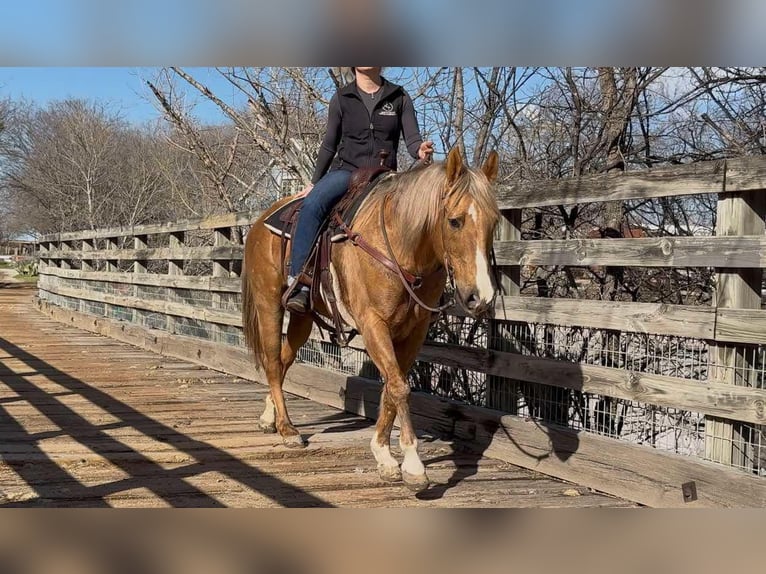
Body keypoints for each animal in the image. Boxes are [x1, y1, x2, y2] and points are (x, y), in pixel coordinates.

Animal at [241, 147, 500, 491]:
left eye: (494, 222)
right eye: (454, 221)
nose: (481, 297)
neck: (400, 246)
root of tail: (259, 222)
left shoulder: (413, 332)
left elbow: (392, 385)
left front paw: (384, 455)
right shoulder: (373, 323)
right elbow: (399, 387)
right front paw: (413, 465)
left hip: (303, 317)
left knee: (283, 360)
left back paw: (269, 416)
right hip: (269, 303)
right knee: (272, 362)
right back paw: (287, 429)